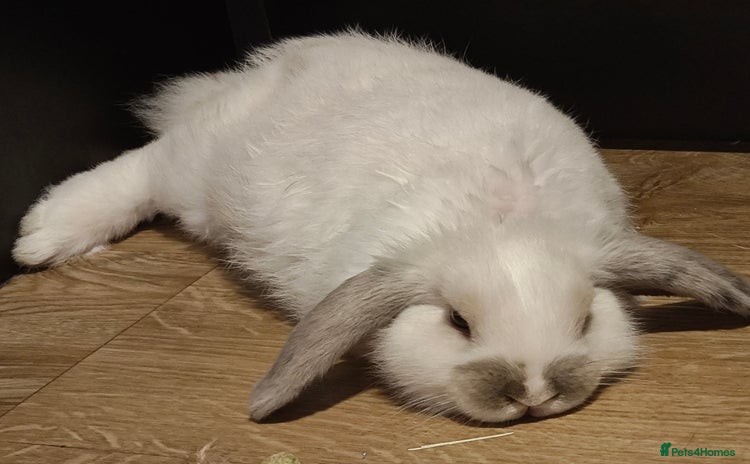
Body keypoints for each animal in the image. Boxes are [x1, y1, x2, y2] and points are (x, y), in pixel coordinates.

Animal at [13, 31, 750, 423]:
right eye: (457, 323)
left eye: (586, 321)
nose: (533, 391)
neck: (496, 222)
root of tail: (257, 75)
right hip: (197, 174)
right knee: (143, 166)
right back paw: (41, 236)